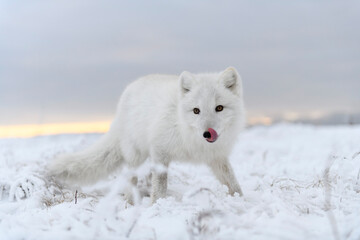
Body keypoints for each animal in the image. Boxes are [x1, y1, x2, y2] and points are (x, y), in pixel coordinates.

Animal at [49, 67, 246, 202]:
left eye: (219, 108)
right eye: (196, 110)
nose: (207, 133)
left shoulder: (216, 156)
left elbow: (232, 181)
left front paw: (241, 199)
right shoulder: (160, 150)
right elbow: (160, 183)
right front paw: (157, 204)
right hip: (135, 154)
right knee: (130, 178)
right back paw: (130, 201)